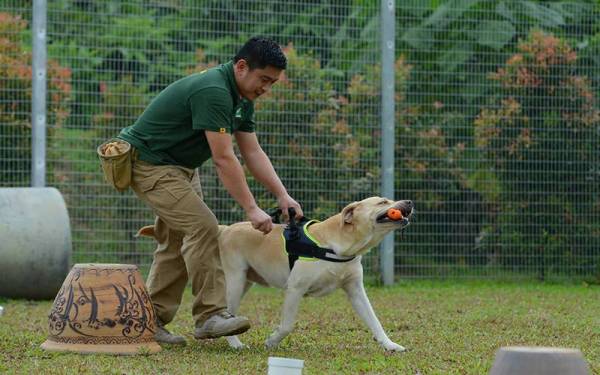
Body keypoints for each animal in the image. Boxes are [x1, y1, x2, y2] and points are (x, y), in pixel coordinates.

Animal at [138, 197, 412, 352]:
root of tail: (225, 229)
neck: (339, 244)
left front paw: (390, 345)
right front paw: (271, 342)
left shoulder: (356, 290)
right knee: (228, 312)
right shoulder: (295, 289)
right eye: (382, 202)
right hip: (233, 281)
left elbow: (374, 320)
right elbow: (287, 325)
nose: (408, 203)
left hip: (245, 282)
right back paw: (235, 344)